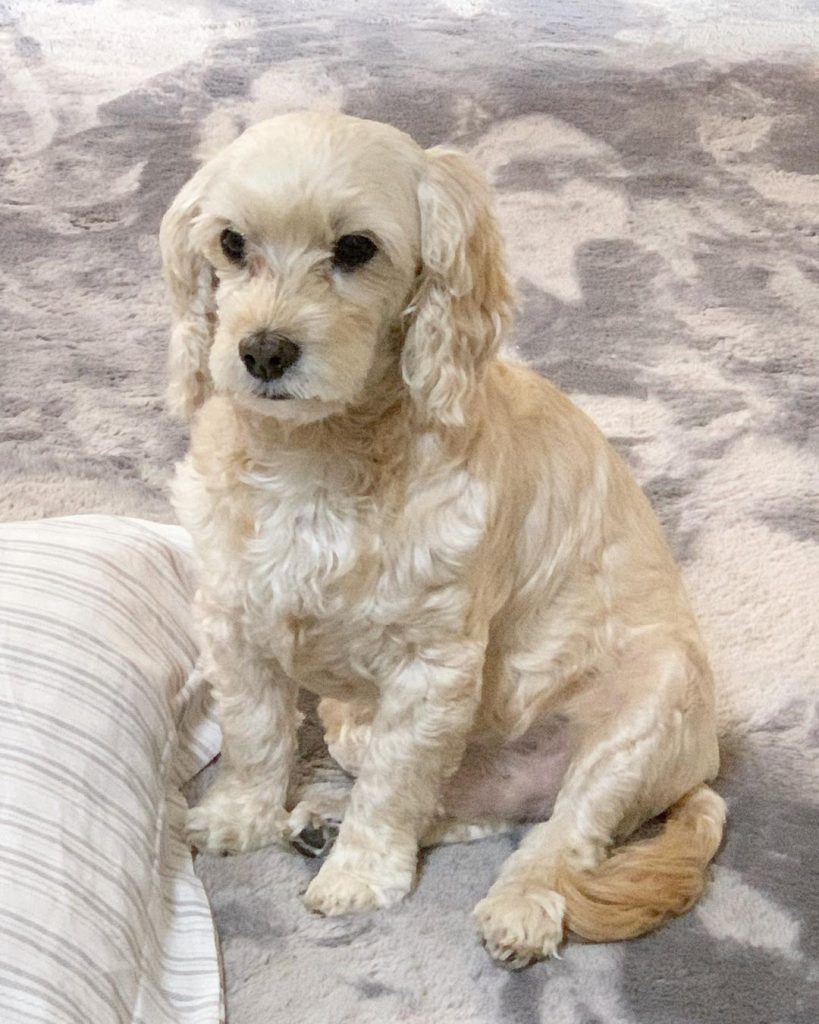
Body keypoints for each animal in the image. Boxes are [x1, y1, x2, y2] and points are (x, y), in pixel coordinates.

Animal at [159, 112, 724, 966]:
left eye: (355, 248)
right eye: (231, 242)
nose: (262, 351)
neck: (315, 458)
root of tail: (702, 771)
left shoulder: (432, 667)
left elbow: (395, 786)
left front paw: (361, 876)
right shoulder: (235, 621)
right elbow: (256, 734)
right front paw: (240, 818)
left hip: (646, 705)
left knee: (565, 836)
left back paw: (519, 907)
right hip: (349, 725)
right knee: (465, 805)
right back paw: (323, 820)